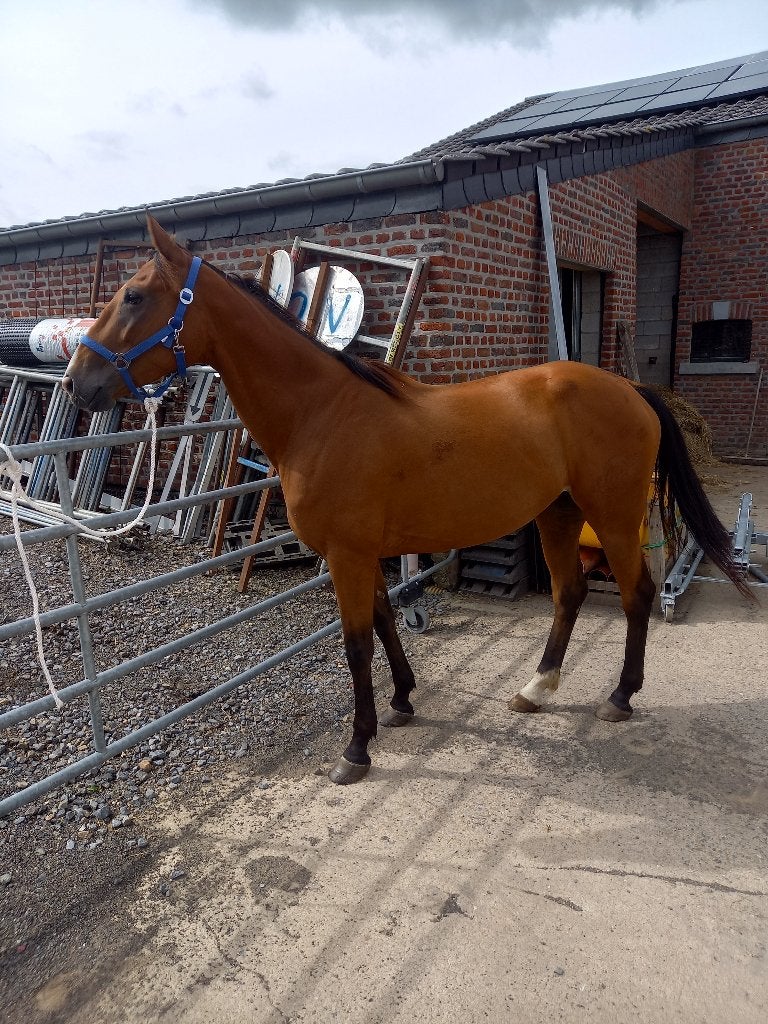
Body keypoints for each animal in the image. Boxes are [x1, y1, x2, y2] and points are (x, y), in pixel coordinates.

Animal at [61, 215, 753, 785]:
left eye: (134, 296)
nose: (76, 383)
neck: (322, 413)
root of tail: (632, 390)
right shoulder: (362, 553)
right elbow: (387, 621)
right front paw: (400, 704)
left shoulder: (346, 555)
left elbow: (356, 642)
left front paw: (356, 750)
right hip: (557, 513)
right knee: (570, 594)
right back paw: (536, 688)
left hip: (611, 514)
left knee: (636, 594)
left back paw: (620, 697)